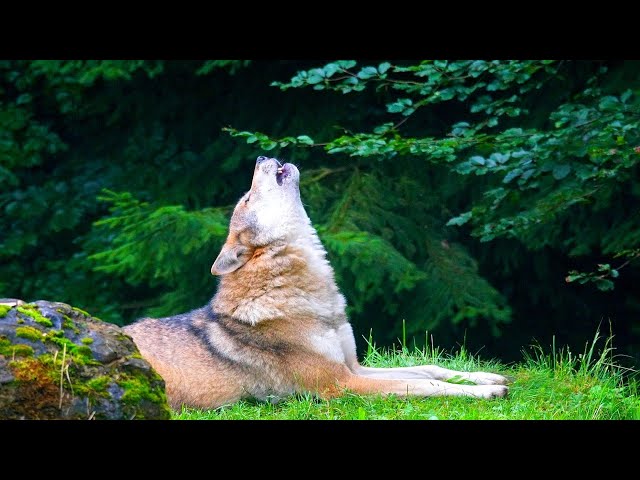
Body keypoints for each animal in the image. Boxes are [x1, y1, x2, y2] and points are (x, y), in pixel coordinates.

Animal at [124, 156, 509, 409]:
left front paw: (488, 377)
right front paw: (486, 393)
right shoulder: (341, 383)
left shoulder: (354, 366)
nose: (261, 155)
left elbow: (430, 368)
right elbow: (426, 384)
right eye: (246, 198)